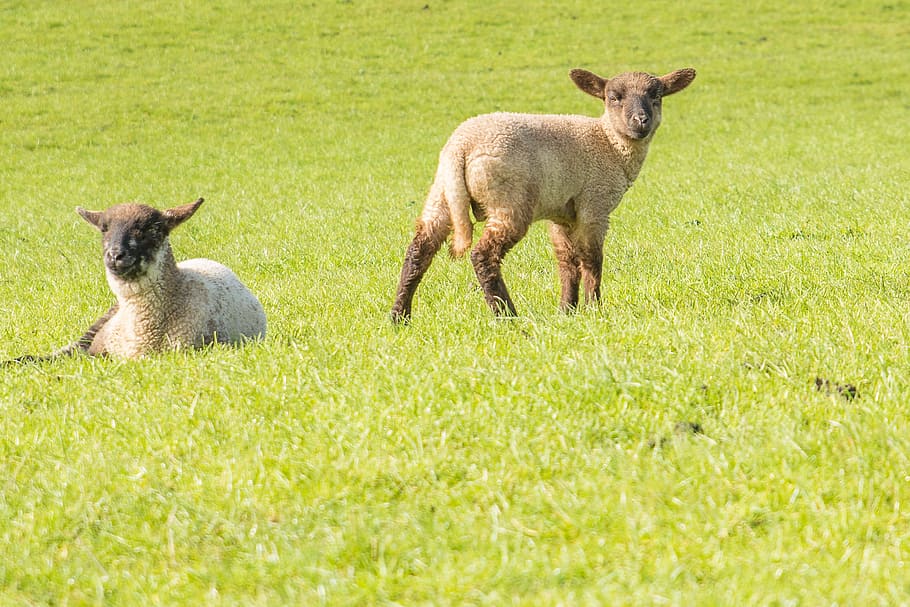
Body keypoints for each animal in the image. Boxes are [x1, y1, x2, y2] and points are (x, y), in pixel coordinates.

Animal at [390, 67, 696, 322]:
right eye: (614, 97)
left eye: (656, 95)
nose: (641, 121)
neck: (609, 143)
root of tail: (461, 147)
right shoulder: (594, 205)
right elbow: (592, 260)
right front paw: (594, 308)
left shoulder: (562, 213)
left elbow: (567, 262)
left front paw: (567, 310)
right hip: (509, 199)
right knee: (483, 255)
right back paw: (507, 316)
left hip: (442, 194)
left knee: (419, 250)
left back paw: (399, 317)